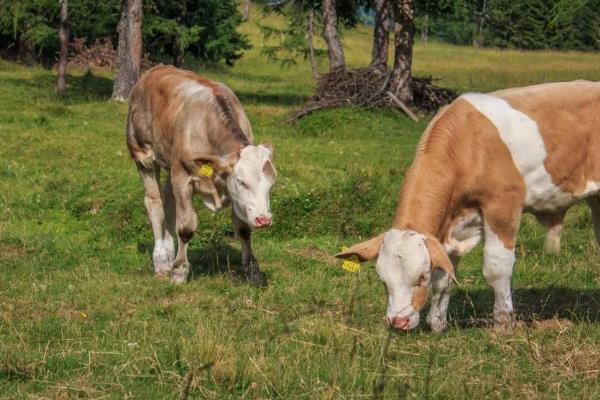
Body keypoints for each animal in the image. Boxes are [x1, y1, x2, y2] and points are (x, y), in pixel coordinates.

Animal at [127, 65, 278, 284]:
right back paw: (162, 261)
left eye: (271, 184)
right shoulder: (182, 178)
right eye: (241, 182)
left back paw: (169, 253)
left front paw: (253, 272)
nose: (263, 219)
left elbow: (243, 230)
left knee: (168, 202)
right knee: (155, 204)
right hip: (144, 157)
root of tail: (154, 70)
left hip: (170, 164)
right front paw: (179, 272)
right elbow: (186, 227)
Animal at [336, 80, 600, 332]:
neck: (469, 146)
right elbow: (445, 274)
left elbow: (496, 268)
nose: (397, 322)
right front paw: (437, 323)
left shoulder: (503, 205)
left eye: (421, 277)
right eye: (383, 280)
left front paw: (503, 324)